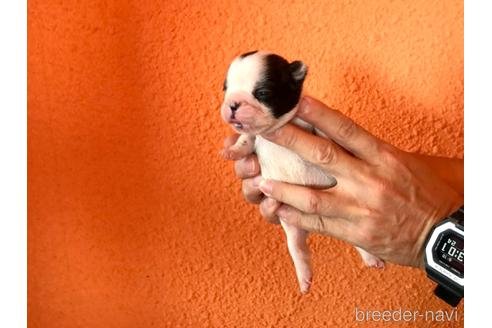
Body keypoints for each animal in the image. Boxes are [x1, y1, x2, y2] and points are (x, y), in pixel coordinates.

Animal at [220, 50, 384, 292]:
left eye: (262, 93)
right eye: (226, 89)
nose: (232, 104)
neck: (278, 126)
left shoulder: (307, 120)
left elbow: (323, 133)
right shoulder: (253, 138)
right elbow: (244, 142)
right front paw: (231, 151)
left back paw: (372, 259)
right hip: (292, 227)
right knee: (298, 248)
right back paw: (304, 278)